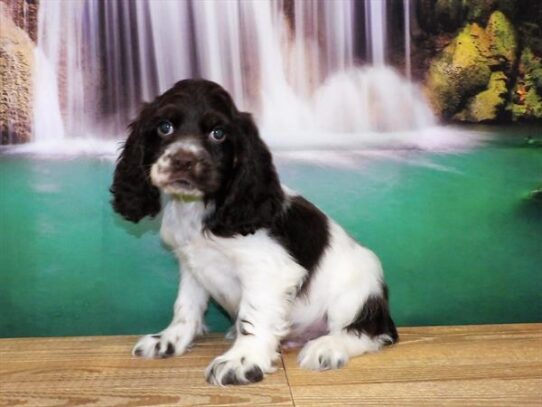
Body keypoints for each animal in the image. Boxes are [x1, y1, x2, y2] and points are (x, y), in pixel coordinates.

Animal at [111, 79, 400, 386]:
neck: (200, 210)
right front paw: (168, 340)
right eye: (164, 127)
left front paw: (242, 360)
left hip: (357, 292)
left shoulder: (268, 269)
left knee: (373, 332)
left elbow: (253, 315)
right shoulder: (191, 267)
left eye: (218, 133)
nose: (183, 160)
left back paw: (327, 347)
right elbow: (185, 307)